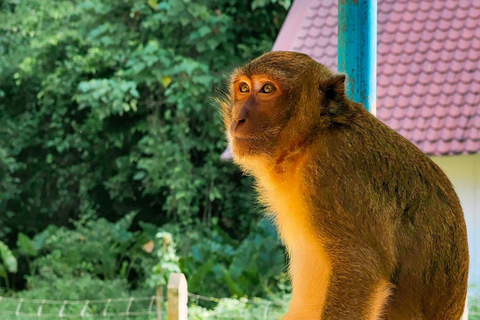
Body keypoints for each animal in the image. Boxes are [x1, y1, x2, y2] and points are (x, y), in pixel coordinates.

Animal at [220, 52, 468, 320]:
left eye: (267, 89)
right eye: (244, 88)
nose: (238, 119)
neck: (311, 137)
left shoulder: (332, 172)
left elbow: (360, 267)